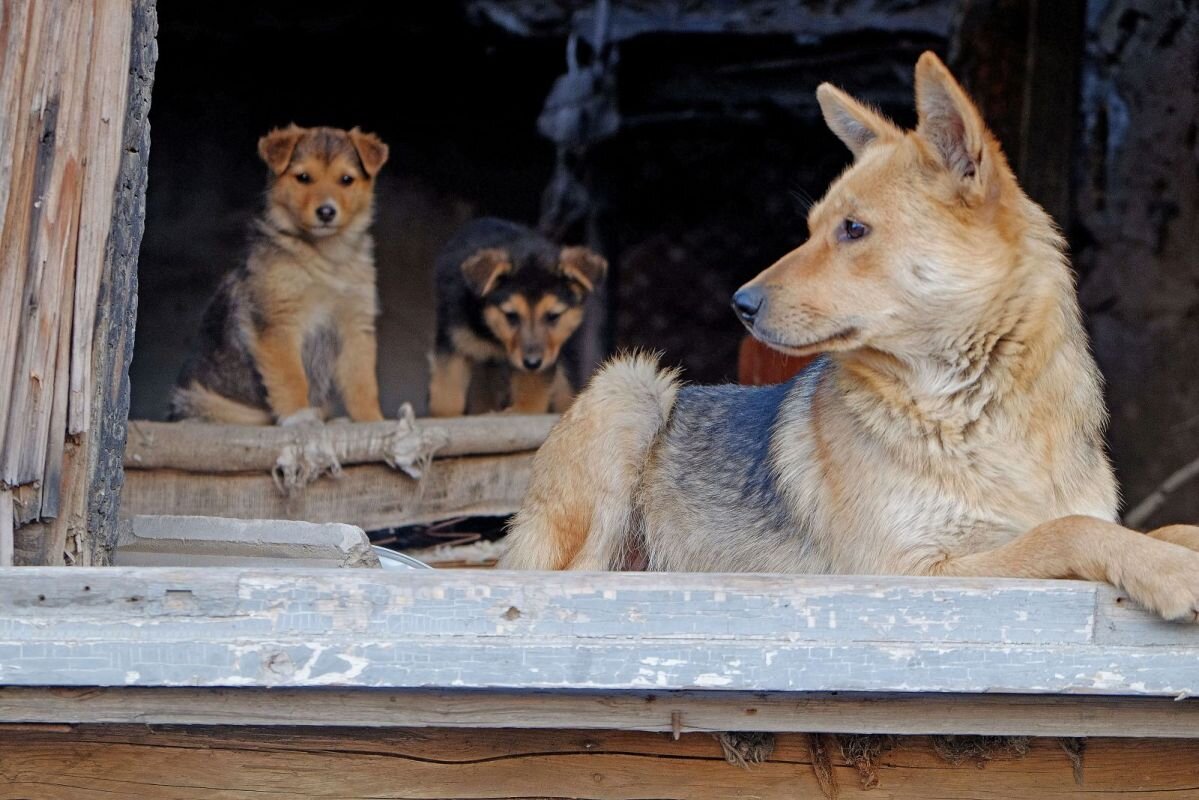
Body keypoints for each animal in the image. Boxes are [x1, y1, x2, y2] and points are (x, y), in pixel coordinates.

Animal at [170, 125, 388, 424]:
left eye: (346, 180)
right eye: (303, 178)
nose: (326, 212)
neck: (326, 255)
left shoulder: (355, 325)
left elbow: (362, 383)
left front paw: (371, 420)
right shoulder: (278, 323)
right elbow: (291, 377)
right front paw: (298, 416)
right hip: (206, 402)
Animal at [429, 219, 604, 419]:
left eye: (553, 316)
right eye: (511, 315)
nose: (532, 363)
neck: (495, 337)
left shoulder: (543, 364)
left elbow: (530, 402)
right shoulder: (453, 343)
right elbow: (446, 399)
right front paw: (446, 416)